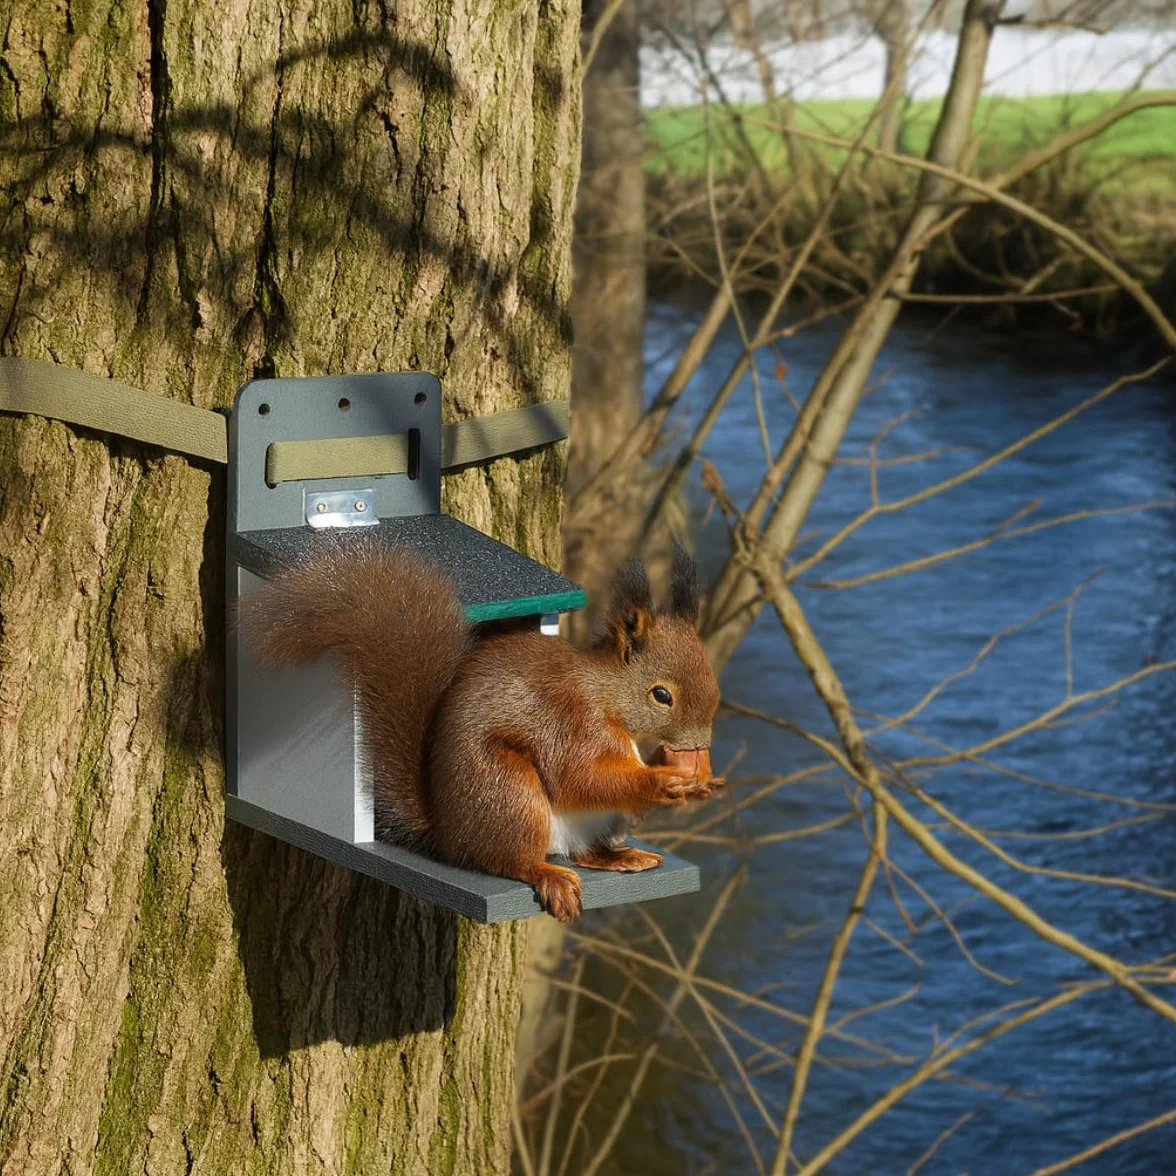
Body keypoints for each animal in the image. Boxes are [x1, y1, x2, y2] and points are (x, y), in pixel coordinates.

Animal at [237, 539, 722, 921]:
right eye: (661, 694)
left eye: (712, 677)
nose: (699, 745)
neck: (610, 701)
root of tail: (449, 834)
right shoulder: (571, 722)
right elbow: (580, 777)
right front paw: (660, 782)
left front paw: (700, 781)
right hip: (508, 793)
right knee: (511, 860)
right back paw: (548, 874)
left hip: (593, 820)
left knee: (584, 852)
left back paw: (622, 856)